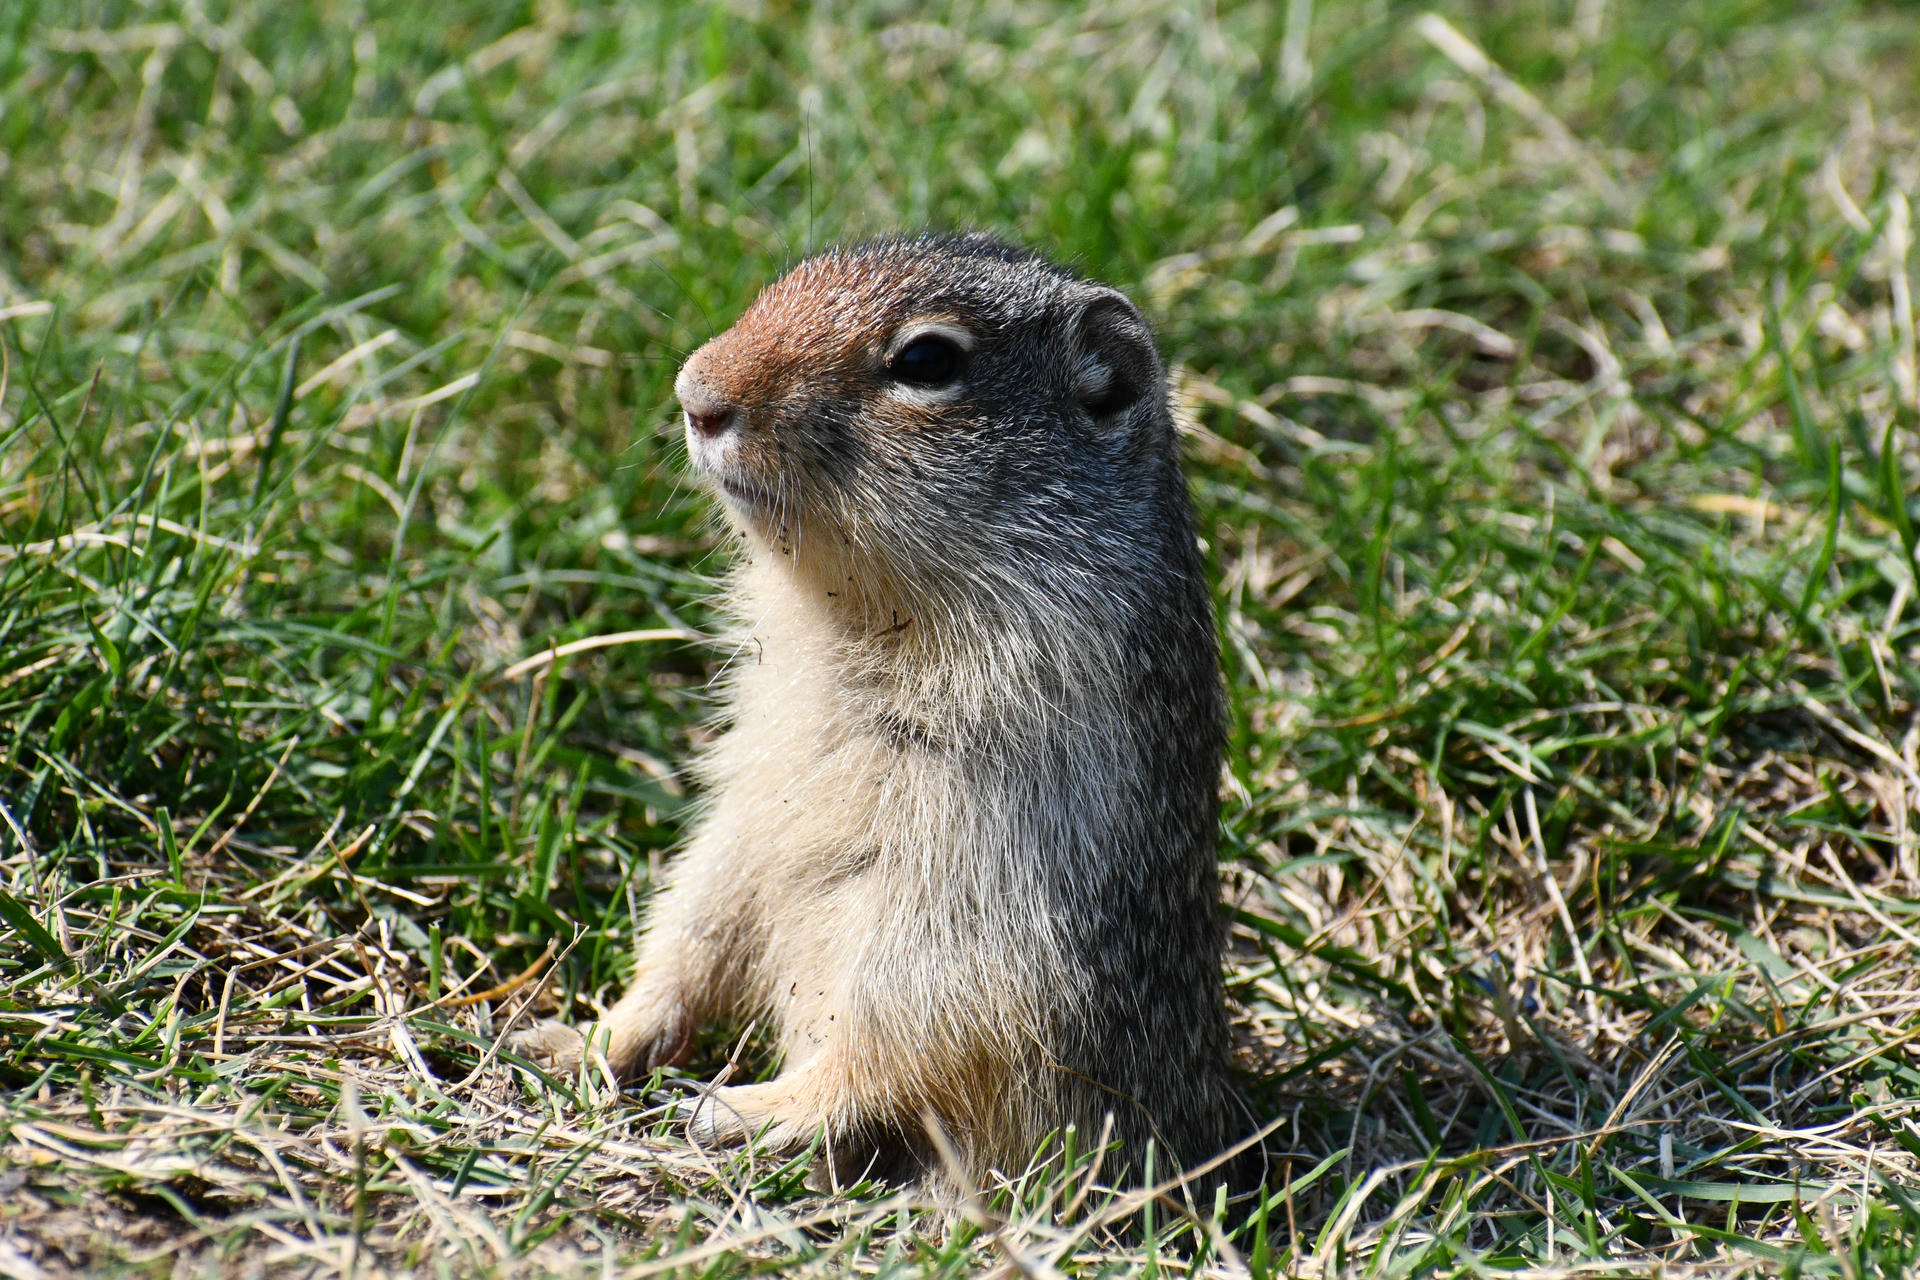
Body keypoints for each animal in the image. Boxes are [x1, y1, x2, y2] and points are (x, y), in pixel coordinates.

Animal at [521, 233, 1254, 1195]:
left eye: (927, 361)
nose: (695, 393)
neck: (861, 628)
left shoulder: (989, 866)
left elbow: (907, 1016)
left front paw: (749, 1111)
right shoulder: (748, 801)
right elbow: (696, 919)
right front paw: (587, 1036)